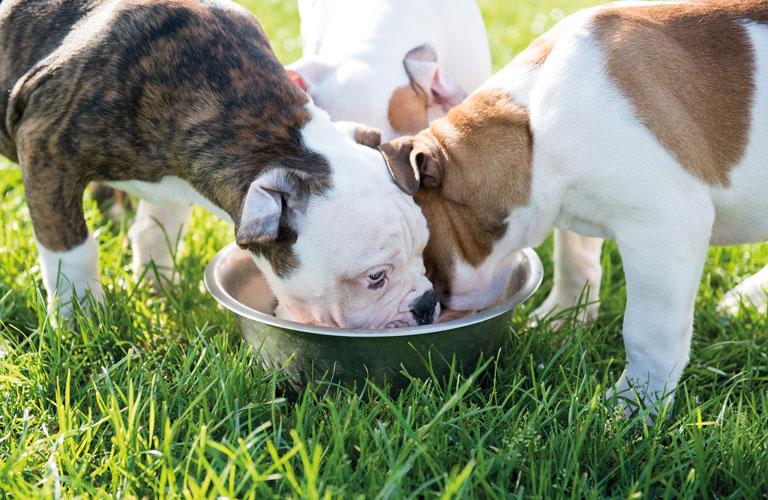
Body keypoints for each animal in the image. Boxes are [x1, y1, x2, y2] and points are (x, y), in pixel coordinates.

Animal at [0, 0, 438, 328]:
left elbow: (156, 232)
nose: (427, 303)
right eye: (375, 278)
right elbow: (74, 252)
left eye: (424, 250)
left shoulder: (179, 174)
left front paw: (158, 289)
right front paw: (81, 319)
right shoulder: (44, 149)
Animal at [378, 0, 768, 412]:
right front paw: (563, 319)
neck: (533, 136)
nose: (425, 309)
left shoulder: (665, 231)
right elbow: (574, 262)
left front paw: (634, 403)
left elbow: (648, 330)